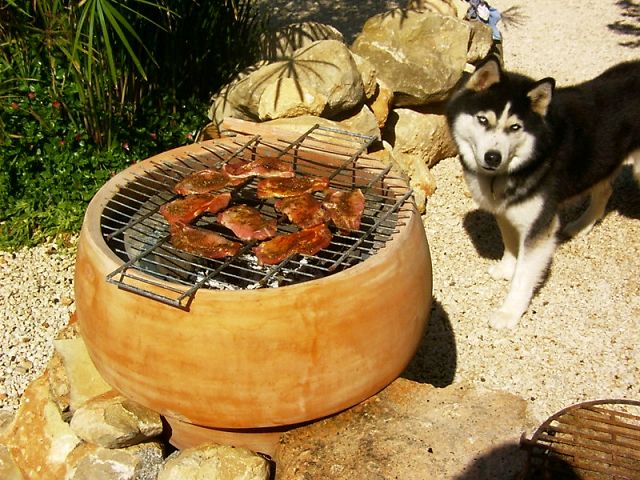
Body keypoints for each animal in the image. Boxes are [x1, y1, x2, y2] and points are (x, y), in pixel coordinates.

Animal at [446, 56, 640, 329]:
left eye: (515, 127)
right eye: (483, 120)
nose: (493, 157)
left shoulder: (540, 226)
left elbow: (524, 276)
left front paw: (509, 312)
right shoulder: (506, 211)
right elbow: (510, 243)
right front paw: (507, 268)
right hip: (598, 163)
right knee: (603, 190)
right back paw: (582, 225)